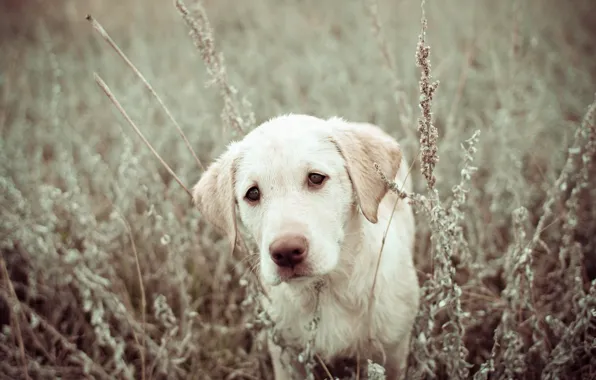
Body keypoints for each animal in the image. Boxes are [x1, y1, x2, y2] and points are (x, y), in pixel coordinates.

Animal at [192, 114, 420, 378]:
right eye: (252, 193)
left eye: (315, 178)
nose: (286, 252)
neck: (327, 289)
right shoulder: (287, 356)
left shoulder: (393, 352)